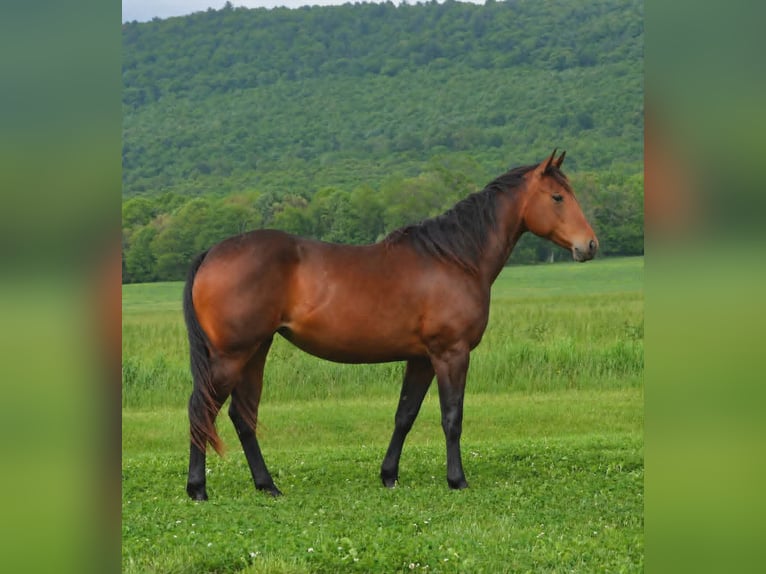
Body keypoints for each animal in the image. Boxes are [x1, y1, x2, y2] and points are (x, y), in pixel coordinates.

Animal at [183, 149, 598, 500]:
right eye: (557, 197)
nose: (590, 245)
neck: (455, 258)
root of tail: (212, 252)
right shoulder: (451, 354)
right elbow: (452, 417)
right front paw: (457, 480)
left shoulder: (421, 359)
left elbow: (405, 415)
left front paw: (388, 475)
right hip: (232, 356)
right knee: (202, 409)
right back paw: (198, 489)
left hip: (256, 352)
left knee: (243, 416)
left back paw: (267, 486)